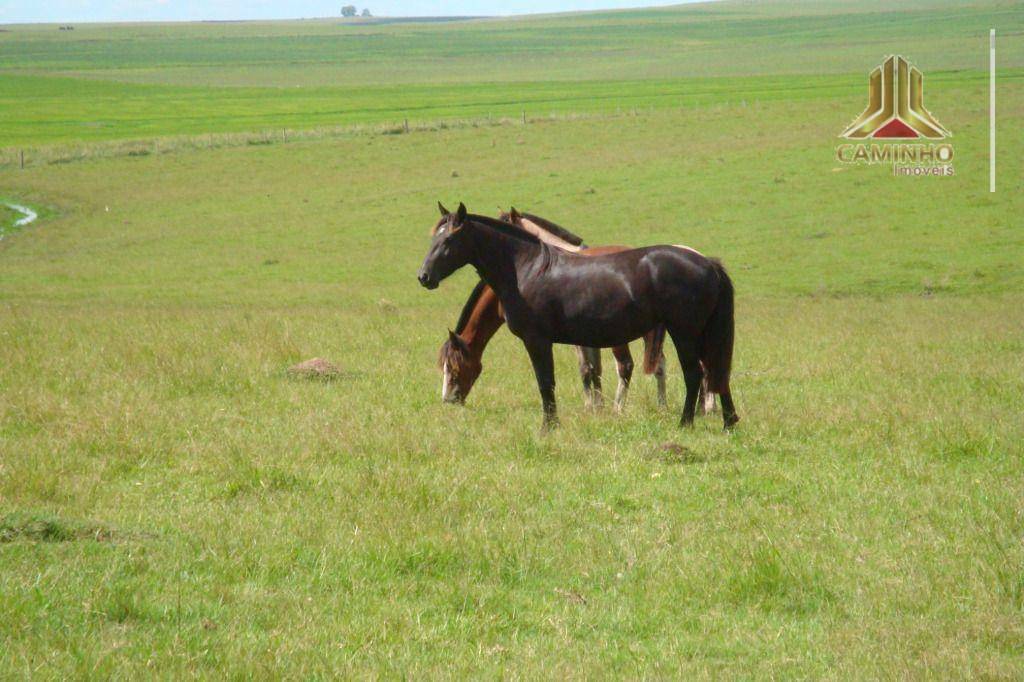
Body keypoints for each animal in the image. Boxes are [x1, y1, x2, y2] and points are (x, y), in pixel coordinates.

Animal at [419, 199, 741, 430]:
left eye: (448, 242)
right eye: (432, 240)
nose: (424, 277)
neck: (526, 268)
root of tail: (707, 263)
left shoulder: (537, 341)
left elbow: (546, 382)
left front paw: (549, 427)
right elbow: (585, 374)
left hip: (685, 332)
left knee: (695, 372)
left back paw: (686, 423)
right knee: (716, 371)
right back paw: (728, 421)